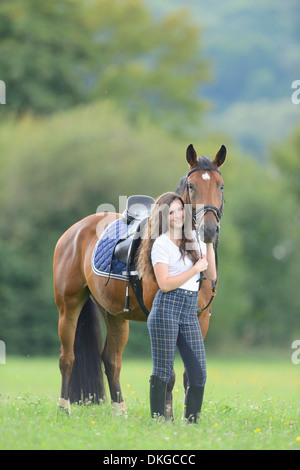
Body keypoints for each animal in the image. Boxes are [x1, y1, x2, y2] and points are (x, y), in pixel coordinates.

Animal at [52, 144, 226, 414]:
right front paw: (165, 416)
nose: (208, 230)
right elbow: (168, 374)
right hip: (68, 307)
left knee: (111, 360)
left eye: (221, 186)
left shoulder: (201, 318)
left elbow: (190, 373)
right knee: (67, 358)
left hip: (114, 315)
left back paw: (120, 411)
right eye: (191, 185)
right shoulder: (162, 317)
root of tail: (75, 230)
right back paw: (64, 408)